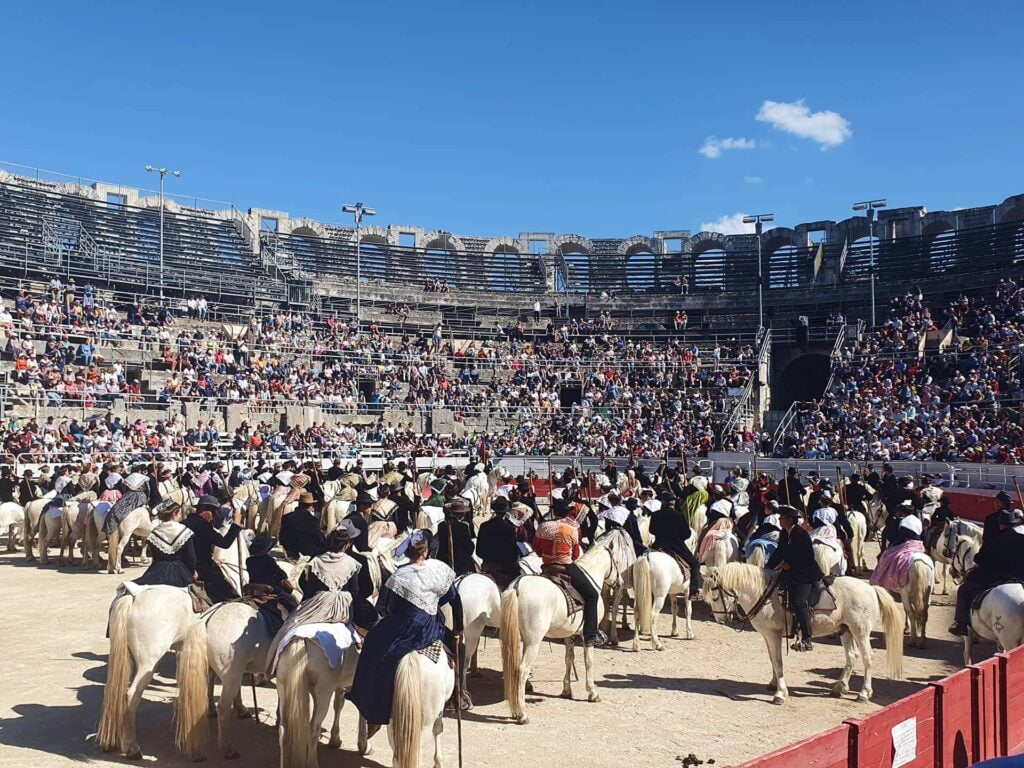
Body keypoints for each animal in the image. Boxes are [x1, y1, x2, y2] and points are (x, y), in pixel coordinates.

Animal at [276, 634, 360, 765]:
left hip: (283, 688)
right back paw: (312, 763)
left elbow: (338, 703)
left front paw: (335, 739)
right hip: (323, 694)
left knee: (283, 731)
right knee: (313, 731)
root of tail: (302, 639)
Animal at [495, 532, 630, 724]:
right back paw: (522, 714)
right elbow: (588, 661)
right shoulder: (586, 635)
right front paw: (592, 692)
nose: (620, 582)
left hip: (517, 639)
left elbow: (568, 659)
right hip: (533, 642)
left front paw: (567, 690)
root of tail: (517, 586)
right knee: (522, 669)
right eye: (617, 562)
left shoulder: (569, 634)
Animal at [704, 561, 905, 708]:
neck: (763, 594)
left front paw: (780, 693)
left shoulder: (774, 635)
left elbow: (778, 662)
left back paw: (863, 693)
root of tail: (871, 588)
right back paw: (839, 687)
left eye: (715, 596)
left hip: (860, 631)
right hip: (846, 630)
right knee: (852, 656)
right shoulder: (767, 635)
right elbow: (772, 660)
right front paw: (773, 683)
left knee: (867, 658)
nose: (720, 619)